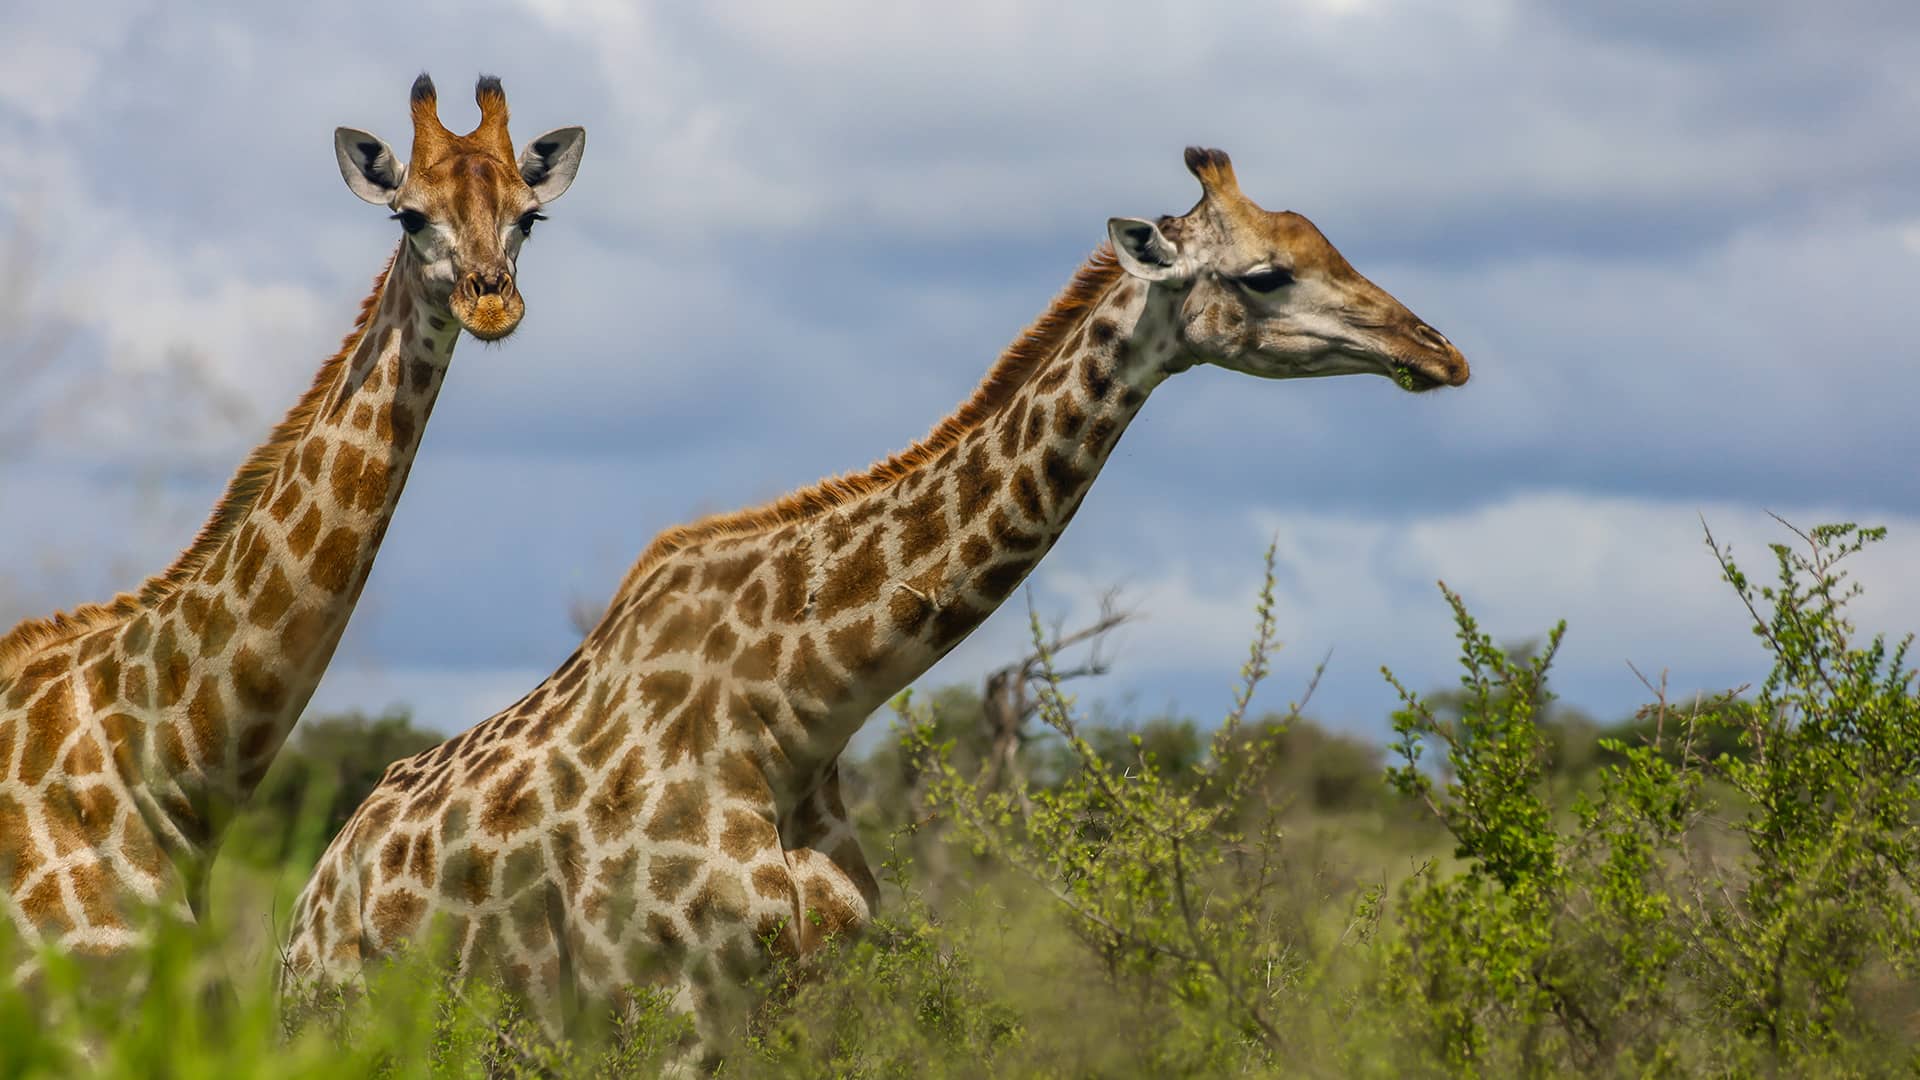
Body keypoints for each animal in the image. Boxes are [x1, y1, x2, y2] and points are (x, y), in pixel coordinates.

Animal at [281, 148, 1467, 1052]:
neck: (796, 712)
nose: (1440, 351)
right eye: (1267, 275)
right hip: (365, 1021)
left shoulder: (808, 988)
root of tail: (309, 907)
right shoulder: (664, 1003)